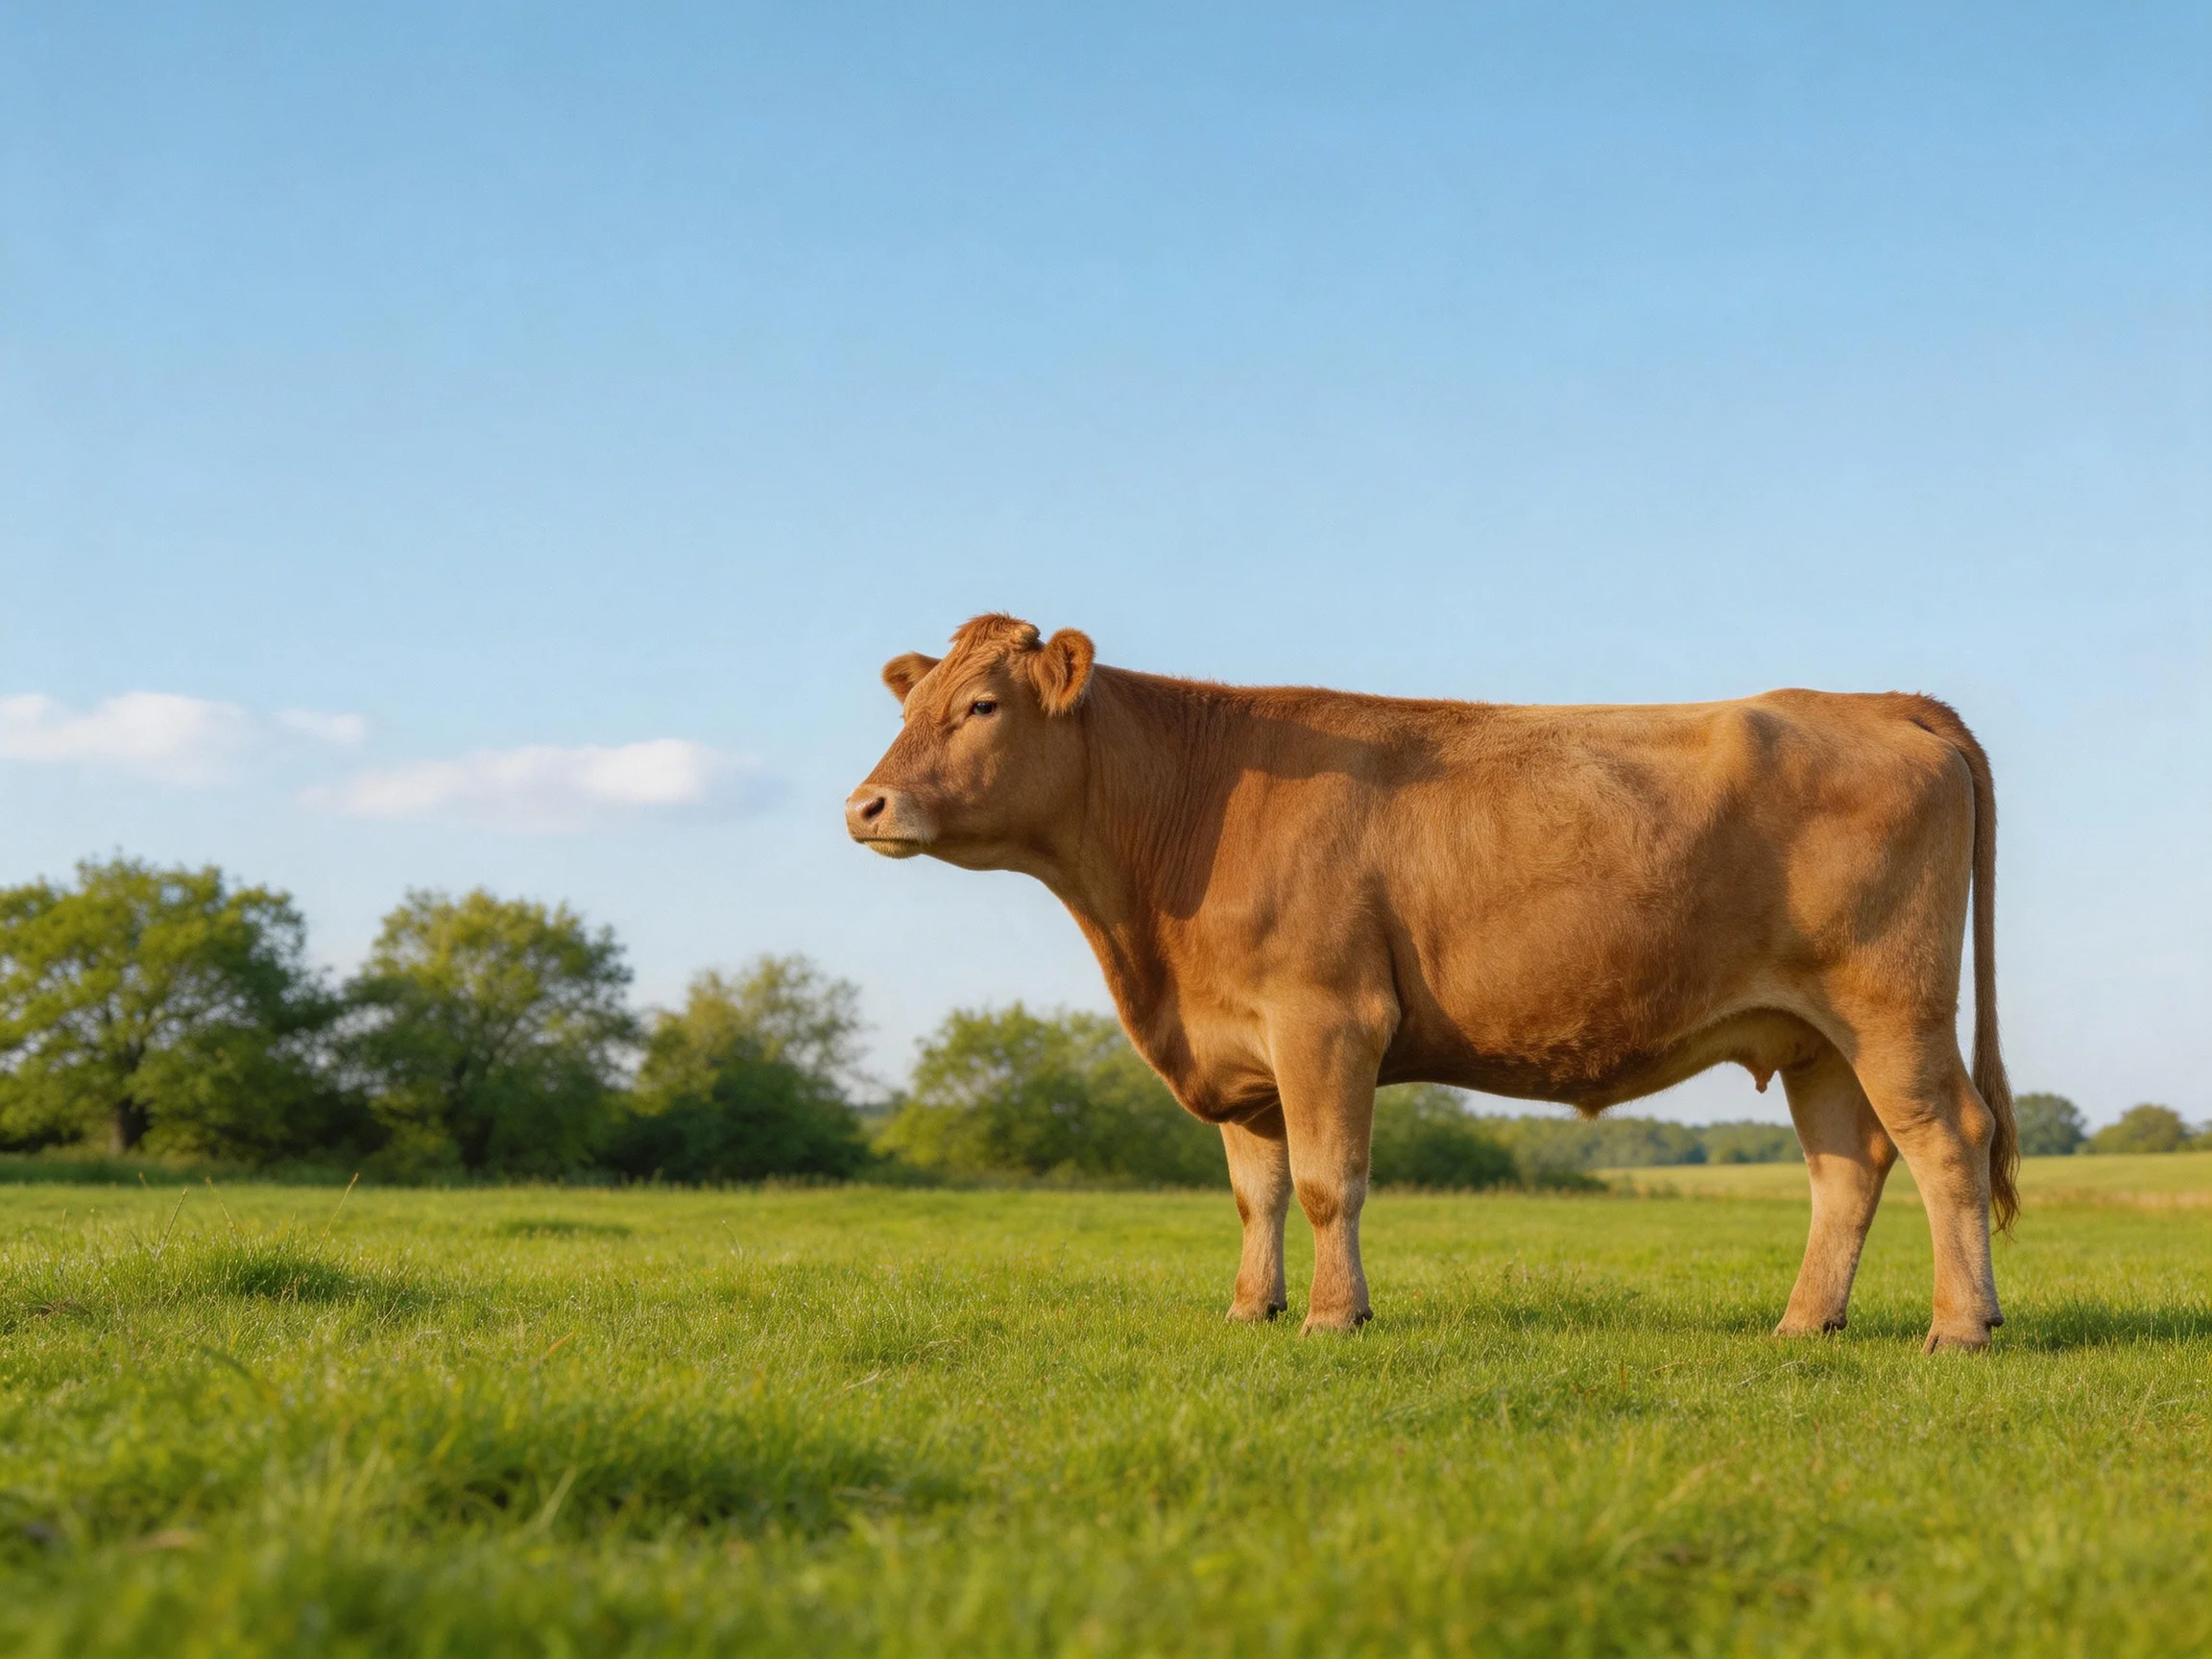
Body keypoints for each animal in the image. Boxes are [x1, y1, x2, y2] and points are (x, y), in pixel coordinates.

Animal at [846, 614, 2018, 1352]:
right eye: (914, 706)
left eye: (983, 706)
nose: (866, 805)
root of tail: (1886, 703)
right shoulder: (1241, 1046)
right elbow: (1258, 1191)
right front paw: (1250, 1311)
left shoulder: (1326, 1019)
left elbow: (1330, 1181)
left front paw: (1334, 1317)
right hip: (1810, 1032)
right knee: (1849, 1168)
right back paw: (1804, 1324)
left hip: (1893, 1009)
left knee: (1947, 1139)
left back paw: (1959, 1327)